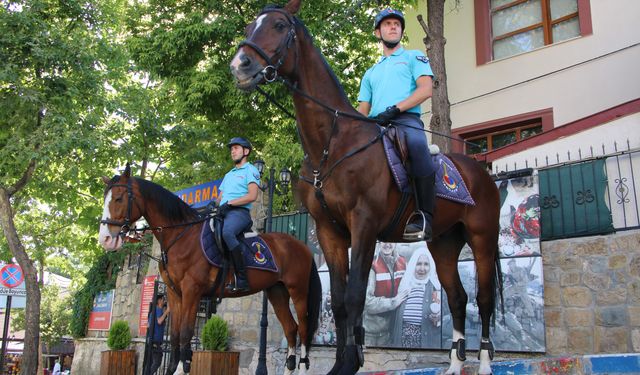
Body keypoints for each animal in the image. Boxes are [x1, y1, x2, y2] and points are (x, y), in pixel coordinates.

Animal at [98, 165, 322, 375]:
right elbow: (175, 336)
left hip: (298, 291)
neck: (181, 236)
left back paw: (303, 367)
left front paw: (182, 369)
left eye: (118, 198)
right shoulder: (174, 293)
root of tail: (300, 245)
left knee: (303, 328)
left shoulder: (192, 291)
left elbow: (186, 333)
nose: (106, 239)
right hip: (277, 291)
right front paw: (173, 368)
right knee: (291, 328)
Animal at [232, 0, 502, 375]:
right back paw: (453, 365)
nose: (240, 65)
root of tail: (480, 168)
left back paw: (487, 363)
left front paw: (350, 362)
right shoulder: (329, 232)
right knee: (458, 297)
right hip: (444, 243)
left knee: (484, 298)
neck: (332, 144)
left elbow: (356, 294)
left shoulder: (364, 225)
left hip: (482, 238)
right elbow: (340, 301)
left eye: (279, 25)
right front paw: (343, 362)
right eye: (248, 27)